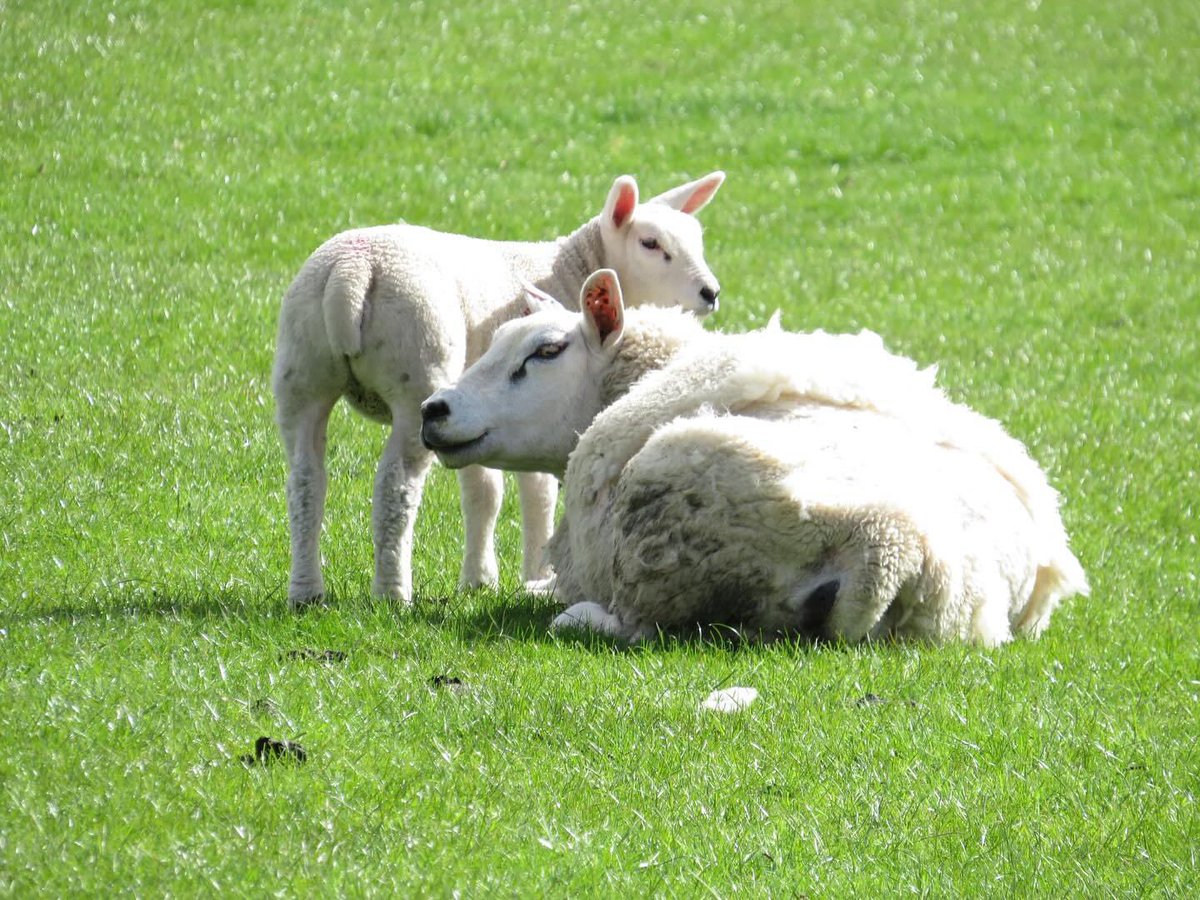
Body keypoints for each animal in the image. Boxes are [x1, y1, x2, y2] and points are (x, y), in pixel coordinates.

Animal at [272, 170, 720, 607]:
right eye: (650, 243)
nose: (711, 293)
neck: (570, 266)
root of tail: (351, 274)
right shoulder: (533, 408)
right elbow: (538, 492)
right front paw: (538, 573)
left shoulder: (476, 414)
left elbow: (483, 491)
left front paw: (479, 579)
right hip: (415, 376)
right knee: (394, 489)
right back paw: (392, 592)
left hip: (300, 372)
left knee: (305, 483)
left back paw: (306, 591)